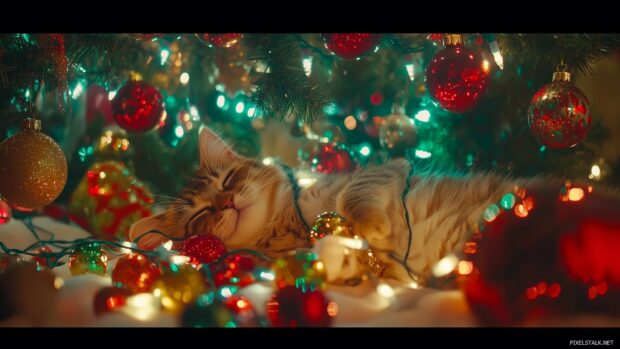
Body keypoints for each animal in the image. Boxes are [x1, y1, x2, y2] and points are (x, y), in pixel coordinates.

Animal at [128, 125, 600, 282]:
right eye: (201, 215)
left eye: (228, 180)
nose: (226, 203)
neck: (288, 223)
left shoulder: (381, 172)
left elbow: (353, 197)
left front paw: (371, 228)